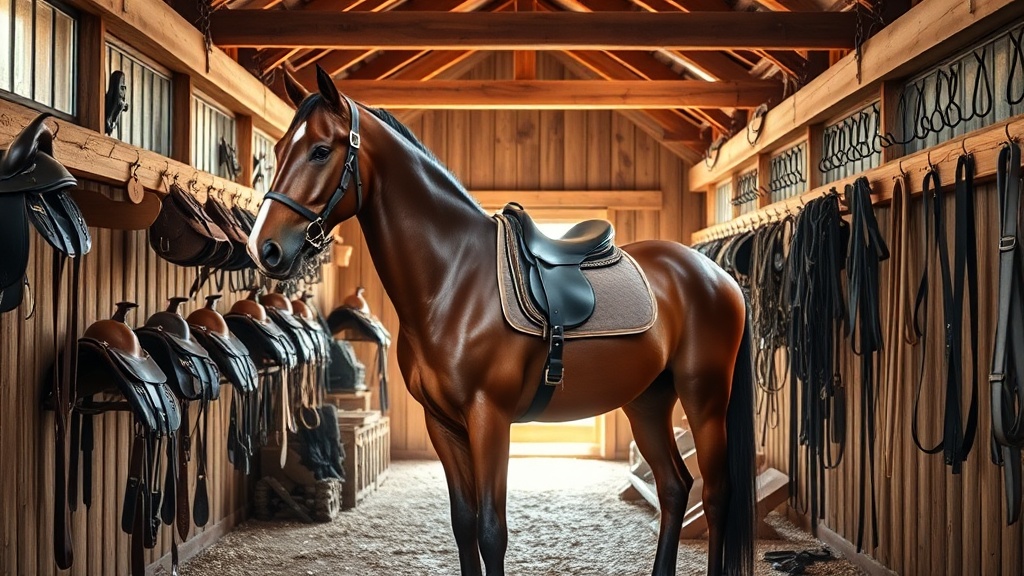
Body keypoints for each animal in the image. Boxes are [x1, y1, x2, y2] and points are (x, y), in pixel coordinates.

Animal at [247, 65, 756, 576]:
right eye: (278, 149)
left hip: (704, 397)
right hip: (648, 401)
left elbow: (492, 531)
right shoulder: (443, 423)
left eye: (320, 150)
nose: (263, 248)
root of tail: (716, 275)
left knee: (716, 495)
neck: (453, 280)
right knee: (674, 487)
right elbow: (464, 523)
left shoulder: (488, 417)